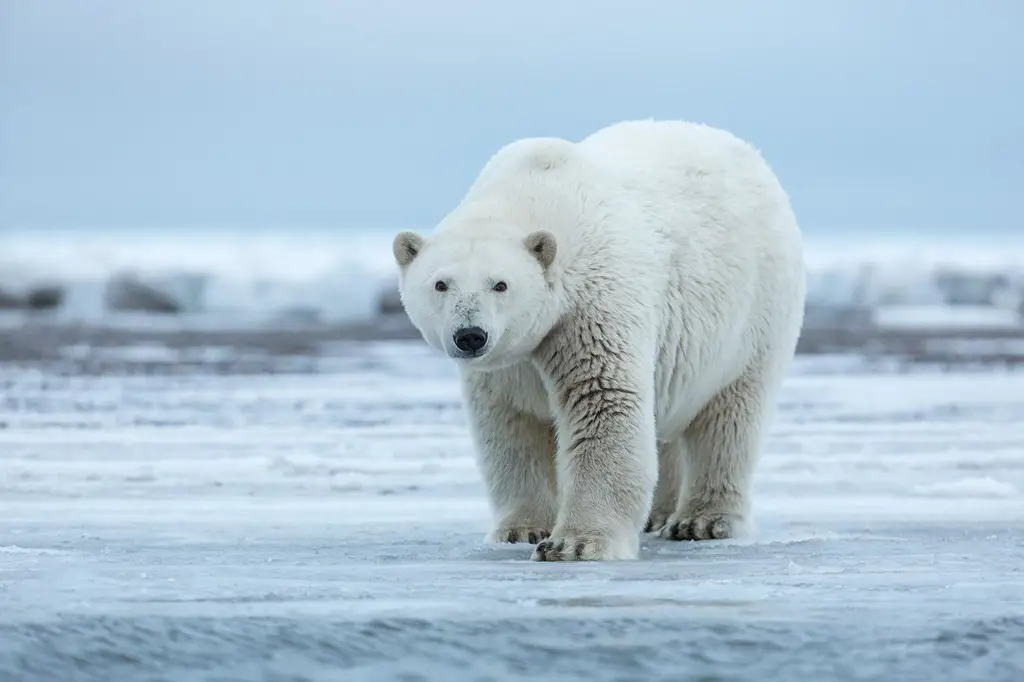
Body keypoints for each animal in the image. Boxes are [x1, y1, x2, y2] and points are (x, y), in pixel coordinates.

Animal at [393, 119, 806, 561]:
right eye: (441, 284)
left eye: (500, 284)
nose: (470, 335)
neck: (537, 189)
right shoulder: (509, 363)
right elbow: (512, 425)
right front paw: (521, 529)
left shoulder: (591, 304)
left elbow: (603, 400)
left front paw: (574, 543)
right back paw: (659, 514)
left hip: (754, 314)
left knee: (730, 417)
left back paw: (702, 521)